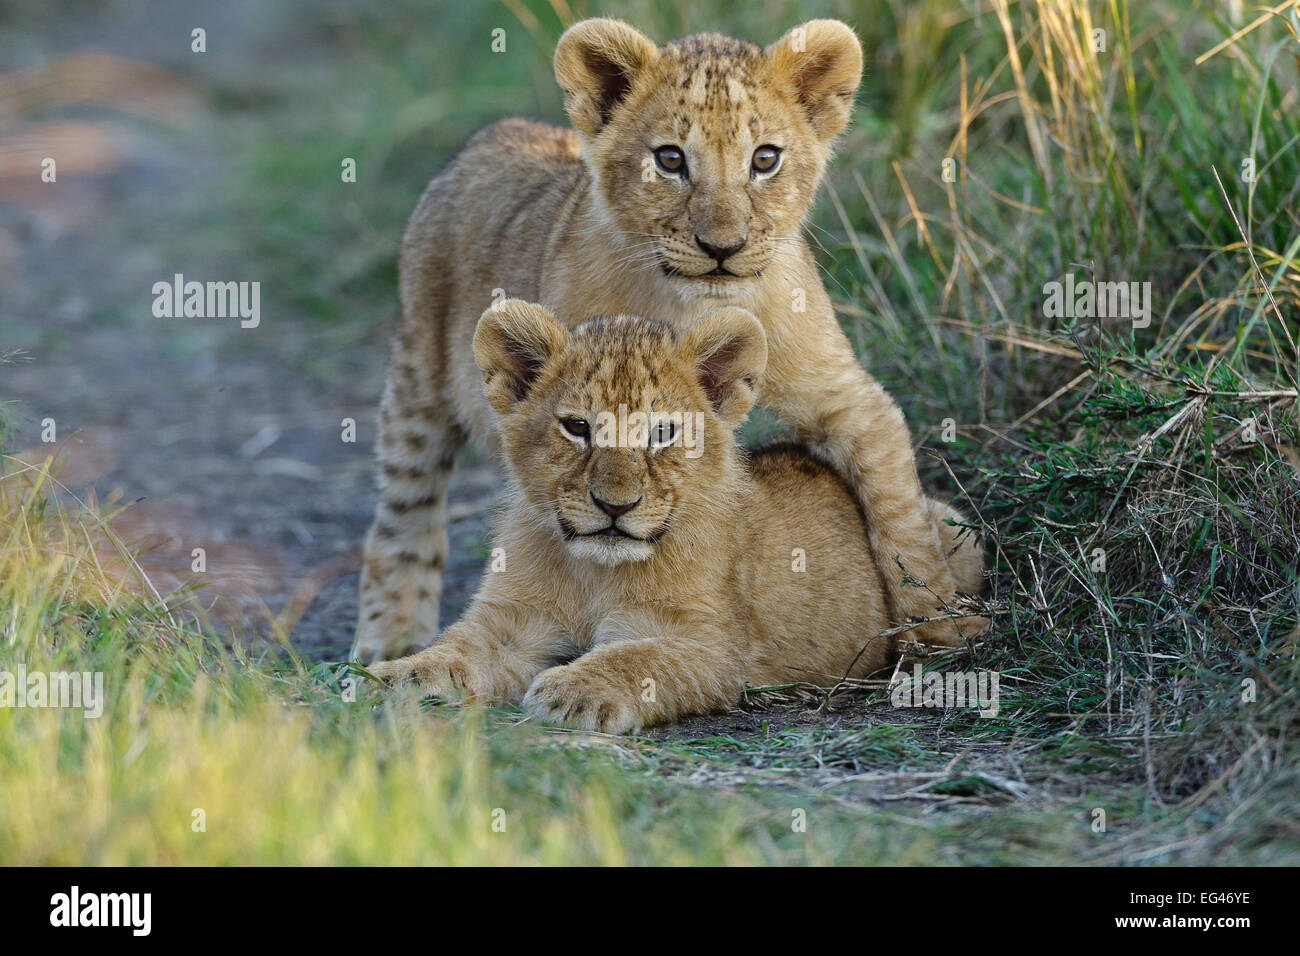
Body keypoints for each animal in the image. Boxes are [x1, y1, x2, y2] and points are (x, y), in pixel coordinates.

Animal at [355, 17, 981, 662]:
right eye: (670, 159)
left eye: (765, 159)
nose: (722, 247)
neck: (697, 307)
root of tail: (495, 132)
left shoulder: (845, 399)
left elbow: (900, 513)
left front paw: (940, 624)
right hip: (419, 384)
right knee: (401, 513)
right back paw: (390, 639)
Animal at [366, 301, 984, 733]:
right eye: (577, 427)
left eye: (664, 432)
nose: (615, 505)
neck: (594, 572)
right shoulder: (508, 619)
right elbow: (456, 649)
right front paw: (393, 677)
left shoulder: (711, 647)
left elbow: (639, 658)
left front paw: (576, 692)